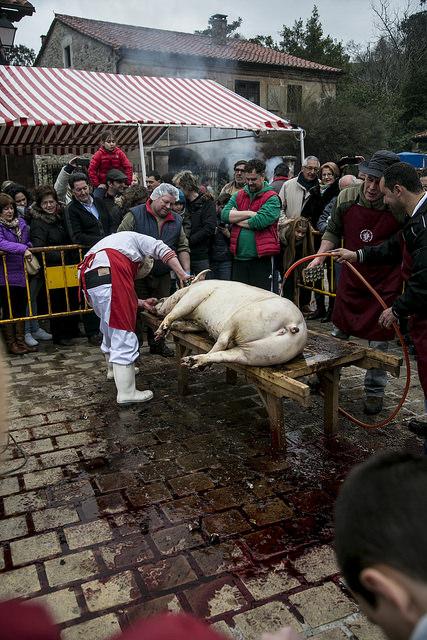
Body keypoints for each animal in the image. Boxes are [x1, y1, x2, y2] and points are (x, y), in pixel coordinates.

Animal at [154, 280, 308, 370]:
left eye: (166, 296)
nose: (156, 301)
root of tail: (294, 325)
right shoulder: (198, 324)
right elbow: (188, 325)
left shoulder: (195, 295)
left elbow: (176, 311)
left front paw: (161, 331)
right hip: (259, 354)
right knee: (225, 354)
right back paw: (193, 362)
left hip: (240, 318)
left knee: (222, 342)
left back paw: (192, 363)